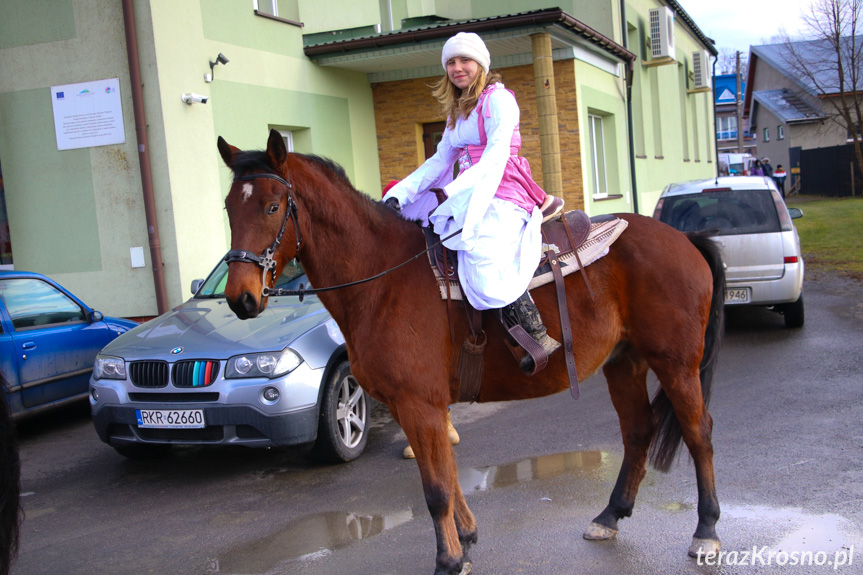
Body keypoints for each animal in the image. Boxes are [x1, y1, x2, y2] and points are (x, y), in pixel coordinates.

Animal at [219, 130, 724, 575]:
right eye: (228, 208)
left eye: (272, 206)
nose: (241, 298)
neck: (384, 279)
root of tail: (683, 238)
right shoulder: (413, 406)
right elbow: (446, 472)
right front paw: (465, 537)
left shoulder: (420, 404)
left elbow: (436, 488)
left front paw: (448, 559)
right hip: (624, 362)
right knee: (638, 431)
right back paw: (610, 515)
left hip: (676, 364)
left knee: (699, 433)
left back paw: (706, 530)